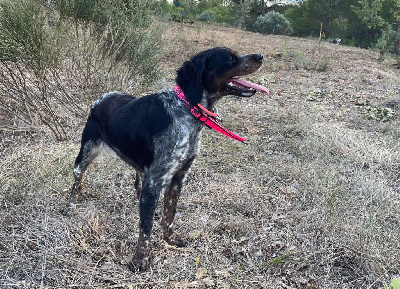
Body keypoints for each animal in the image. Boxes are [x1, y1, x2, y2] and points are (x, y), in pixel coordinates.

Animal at [69, 46, 268, 270]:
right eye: (231, 59)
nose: (260, 56)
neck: (187, 110)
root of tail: (102, 98)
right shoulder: (156, 180)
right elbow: (146, 227)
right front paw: (139, 260)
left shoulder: (177, 178)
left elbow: (169, 215)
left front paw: (170, 239)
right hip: (85, 154)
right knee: (77, 180)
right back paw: (71, 206)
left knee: (138, 188)